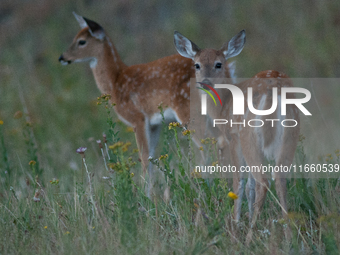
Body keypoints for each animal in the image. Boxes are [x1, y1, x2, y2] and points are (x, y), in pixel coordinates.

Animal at [59, 12, 244, 198]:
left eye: (81, 41)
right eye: (75, 37)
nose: (62, 57)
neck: (115, 82)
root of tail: (229, 69)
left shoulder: (137, 117)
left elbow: (144, 155)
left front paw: (145, 196)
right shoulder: (155, 123)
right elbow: (150, 157)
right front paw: (151, 193)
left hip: (190, 110)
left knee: (210, 143)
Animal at [175, 30, 300, 244]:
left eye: (219, 64)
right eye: (197, 64)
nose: (205, 82)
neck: (222, 107)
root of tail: (274, 90)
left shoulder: (232, 139)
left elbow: (239, 185)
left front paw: (235, 228)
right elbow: (249, 187)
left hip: (248, 136)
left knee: (263, 182)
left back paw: (248, 238)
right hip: (290, 136)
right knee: (279, 179)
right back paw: (289, 238)